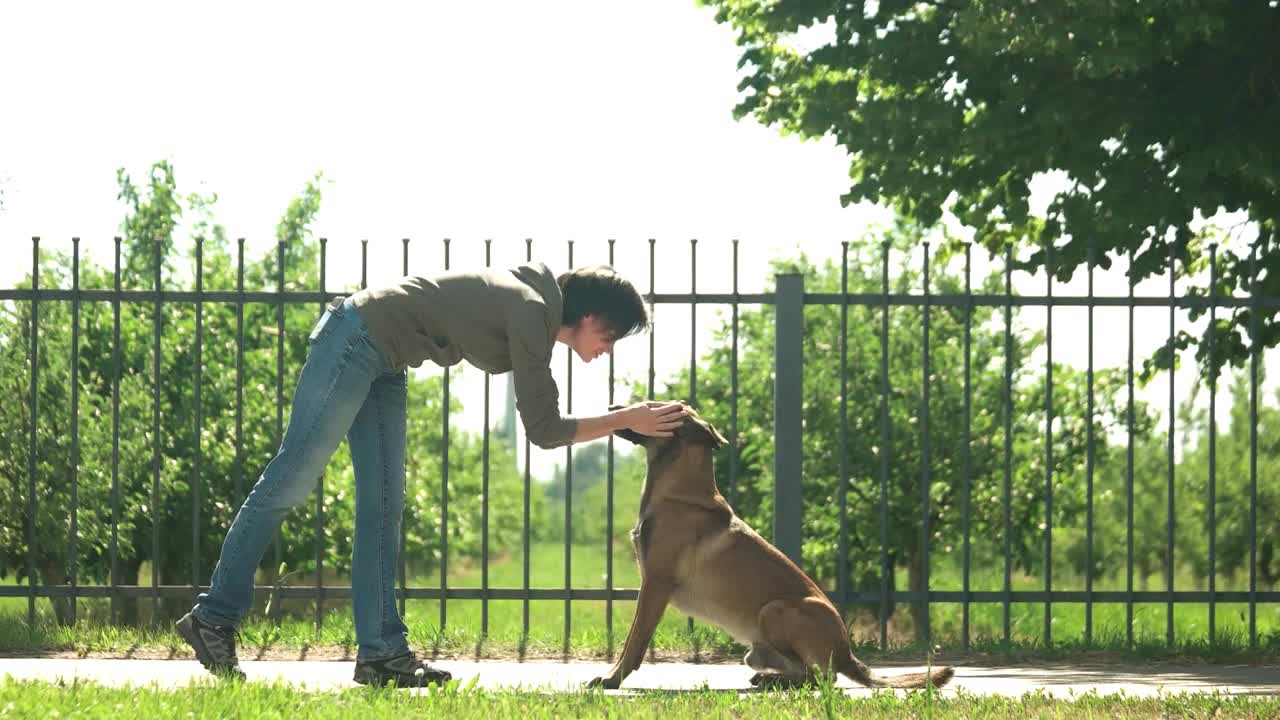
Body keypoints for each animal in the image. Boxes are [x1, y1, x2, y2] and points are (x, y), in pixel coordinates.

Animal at [586, 399, 957, 686]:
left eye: (654, 406)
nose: (612, 408)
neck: (681, 489)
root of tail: (847, 654)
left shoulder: (655, 585)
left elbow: (634, 640)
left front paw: (612, 678)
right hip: (757, 650)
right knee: (809, 673)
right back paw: (769, 679)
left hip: (776, 610)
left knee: (823, 678)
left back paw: (774, 681)